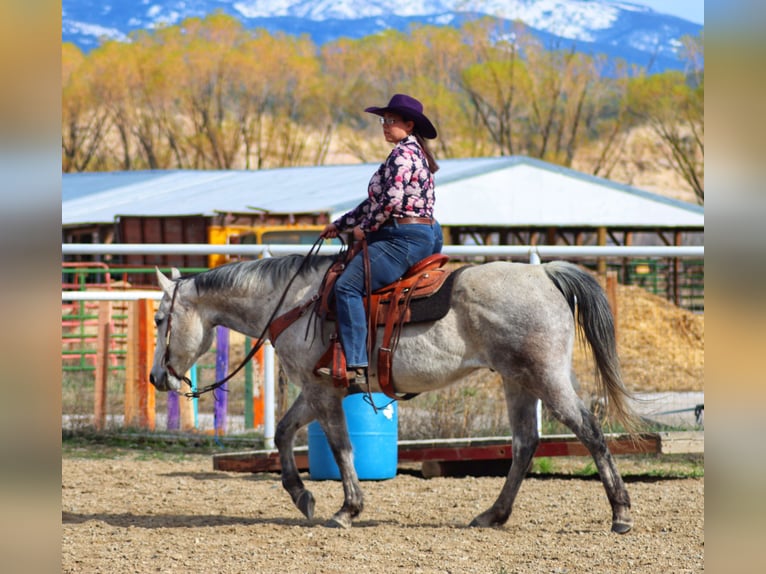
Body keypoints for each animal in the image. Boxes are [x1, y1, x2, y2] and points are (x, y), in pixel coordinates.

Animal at [149, 254, 637, 533]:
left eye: (158, 319)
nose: (156, 378)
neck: (293, 301)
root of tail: (543, 274)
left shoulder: (321, 390)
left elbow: (341, 447)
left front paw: (348, 509)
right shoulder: (316, 387)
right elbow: (286, 432)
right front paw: (302, 496)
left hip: (545, 377)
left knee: (590, 432)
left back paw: (621, 514)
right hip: (516, 381)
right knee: (524, 444)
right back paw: (491, 516)